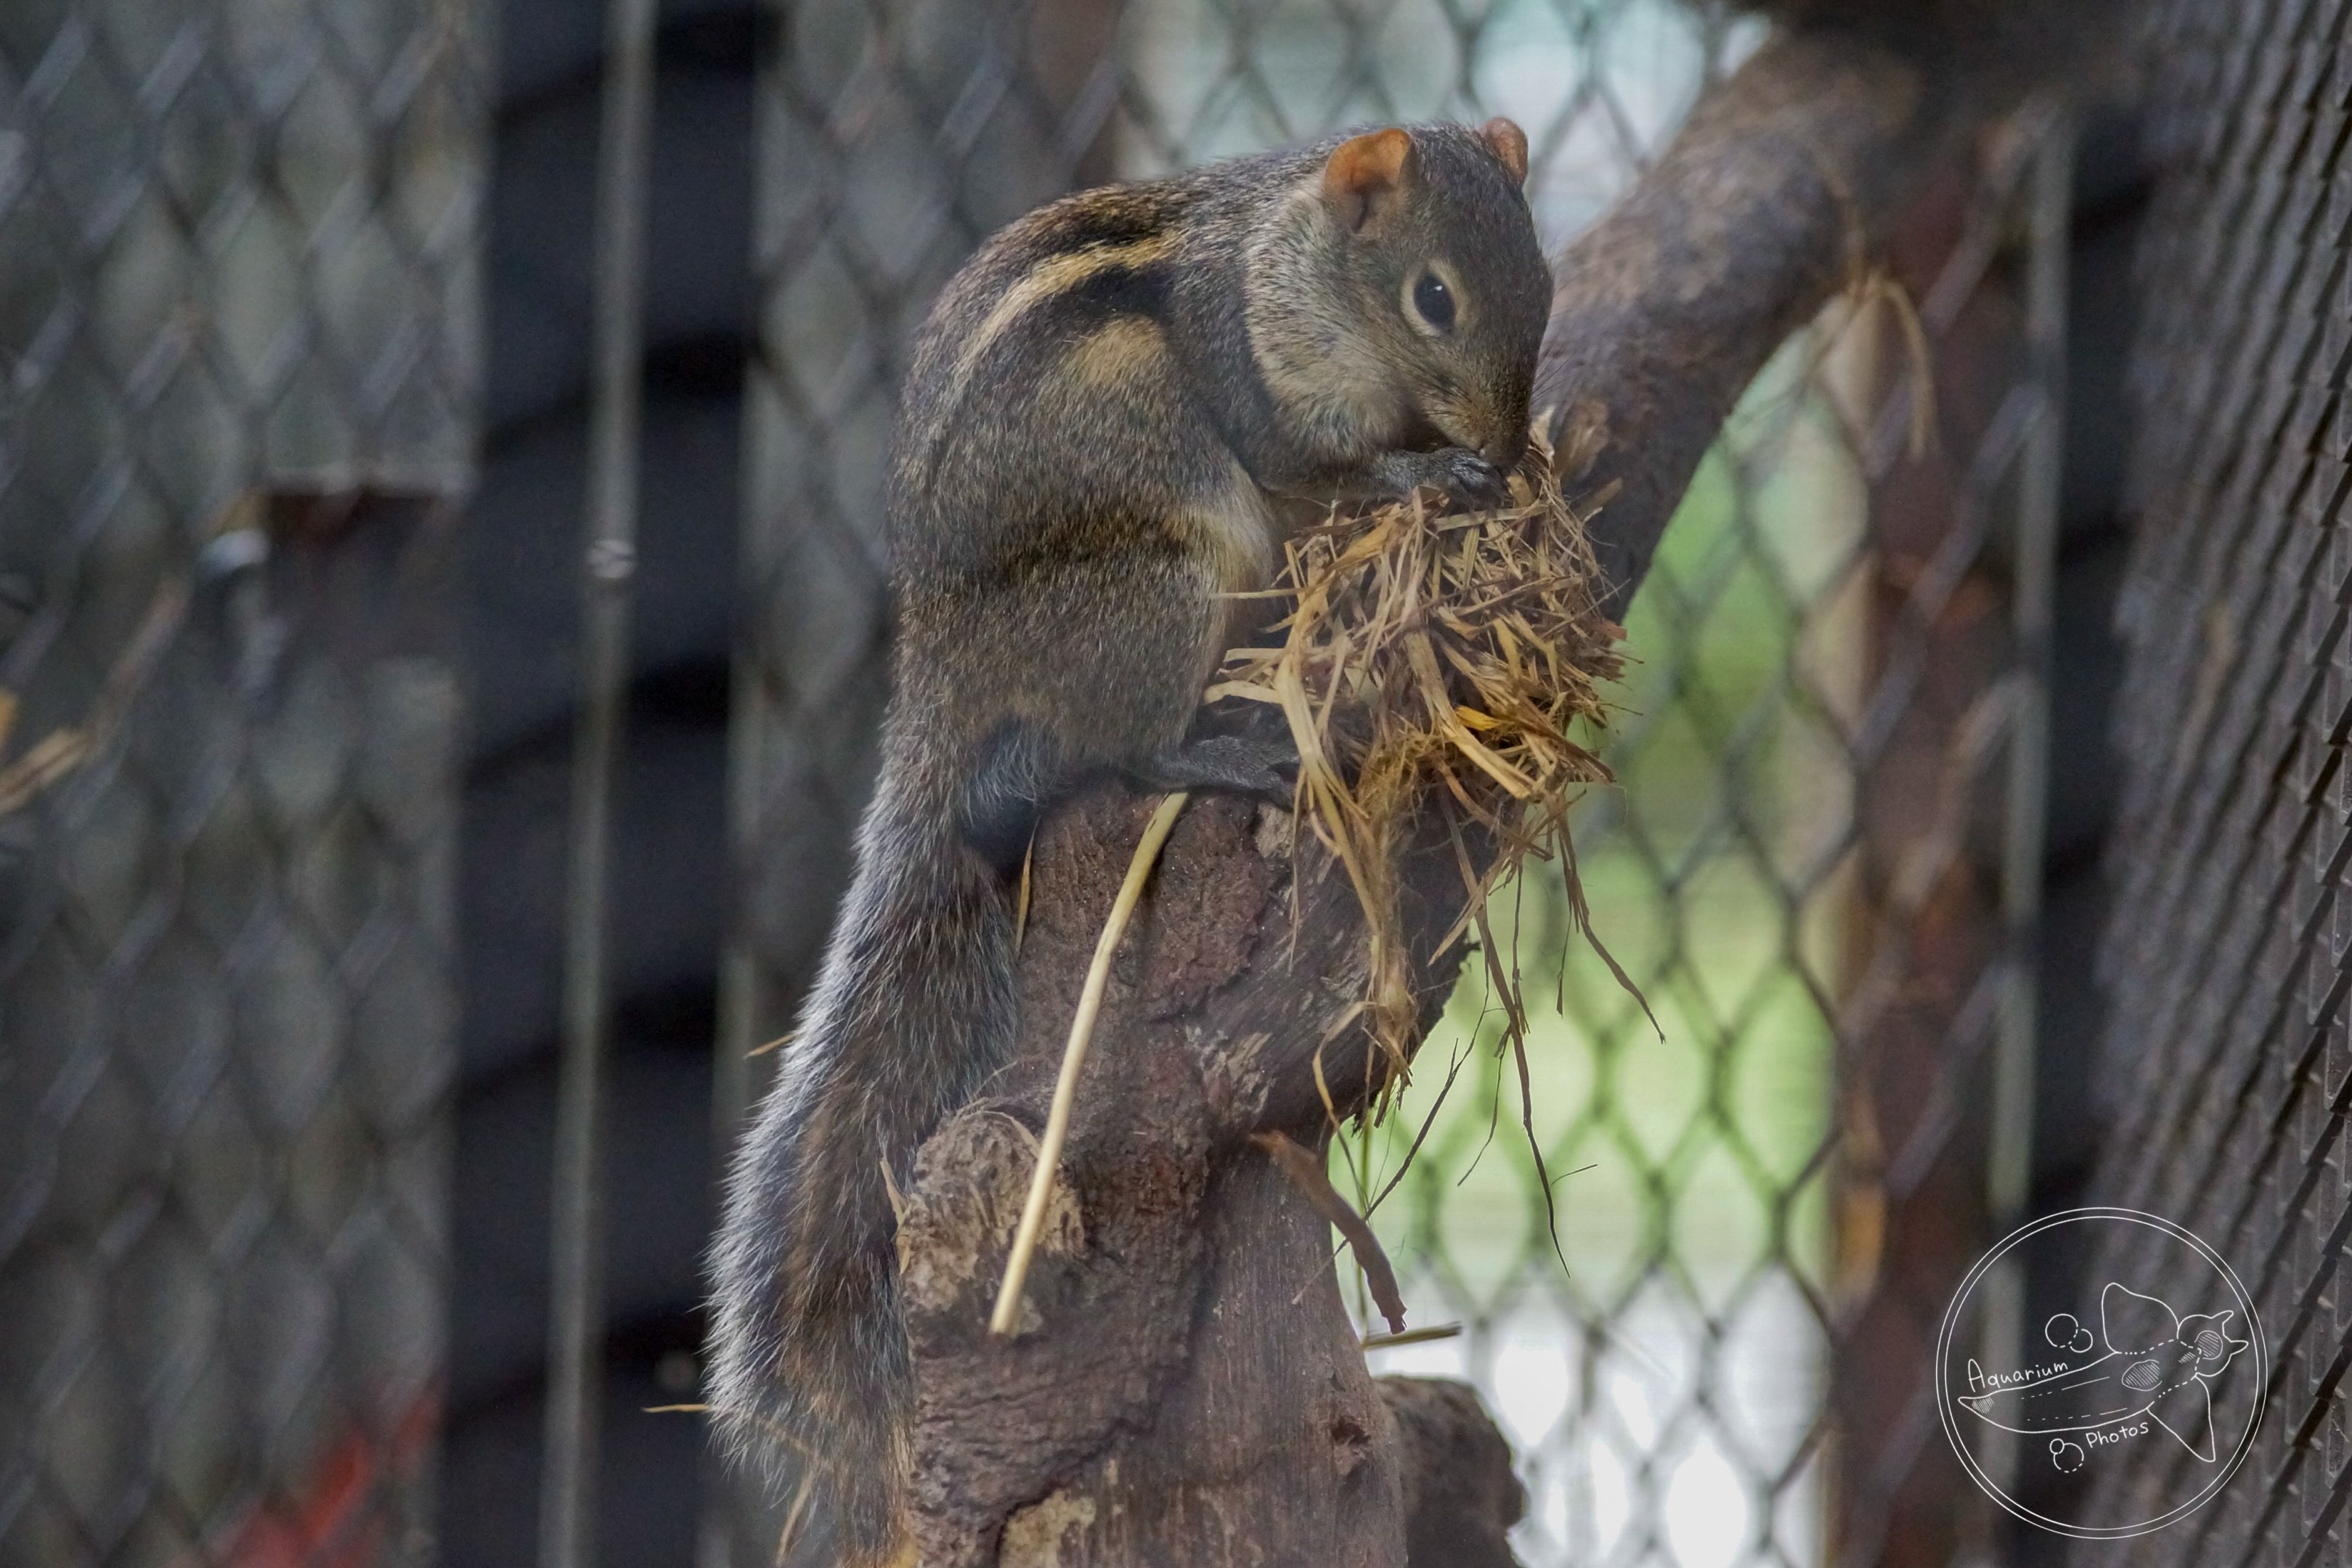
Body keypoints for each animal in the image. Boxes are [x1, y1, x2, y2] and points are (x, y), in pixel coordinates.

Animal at [709, 118, 1551, 1566]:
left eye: (1544, 280)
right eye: (1433, 298)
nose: (1501, 443)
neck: (1291, 256)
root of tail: (941, 671)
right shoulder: (1258, 376)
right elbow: (1313, 460)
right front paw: (1422, 474)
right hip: (1157, 586)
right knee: (1116, 745)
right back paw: (1208, 749)